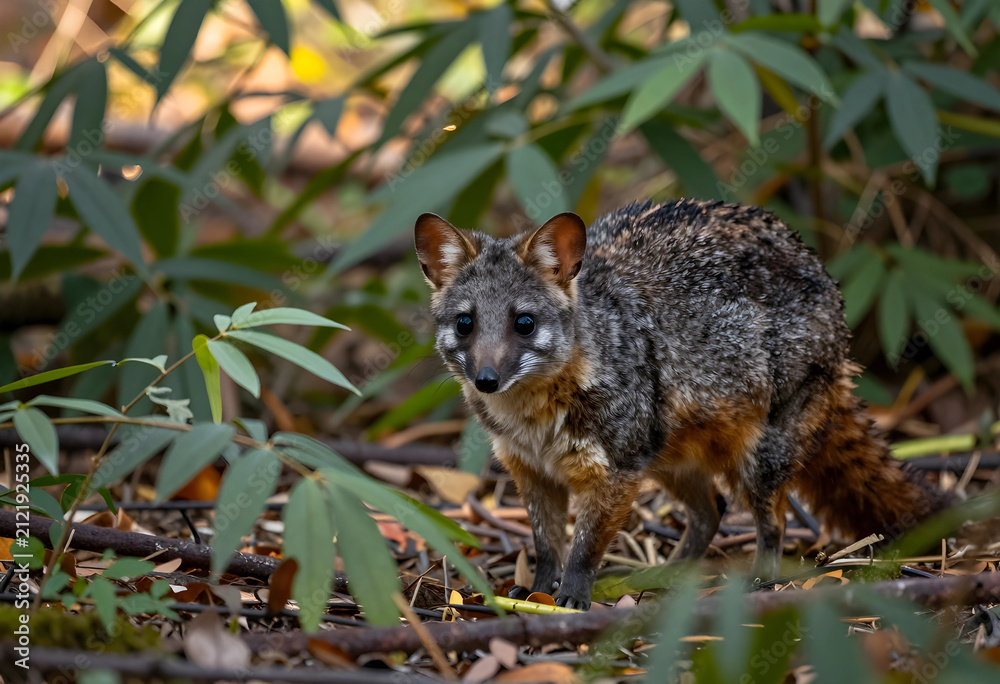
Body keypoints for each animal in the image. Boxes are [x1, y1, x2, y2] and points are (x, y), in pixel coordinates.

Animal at [414, 199, 951, 609]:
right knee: (711, 512)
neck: (534, 421)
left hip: (757, 461)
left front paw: (570, 599)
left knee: (771, 523)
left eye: (523, 323)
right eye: (465, 323)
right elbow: (547, 546)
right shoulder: (532, 471)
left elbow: (583, 548)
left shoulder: (616, 471)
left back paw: (762, 579)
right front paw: (538, 594)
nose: (486, 380)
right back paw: (660, 578)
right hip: (670, 460)